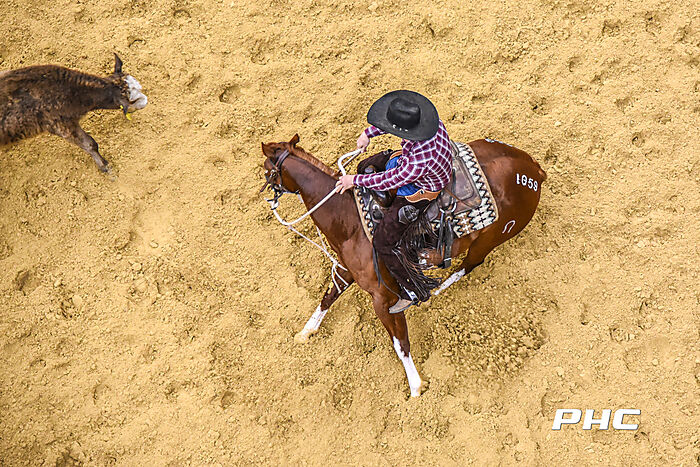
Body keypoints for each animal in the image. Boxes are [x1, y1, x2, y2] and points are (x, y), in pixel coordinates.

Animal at [261, 134, 546, 397]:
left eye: (266, 170)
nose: (265, 199)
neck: (348, 220)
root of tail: (533, 170)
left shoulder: (383, 298)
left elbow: (400, 343)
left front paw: (416, 386)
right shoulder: (346, 269)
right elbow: (329, 296)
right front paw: (306, 331)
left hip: (488, 240)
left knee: (468, 266)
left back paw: (430, 291)